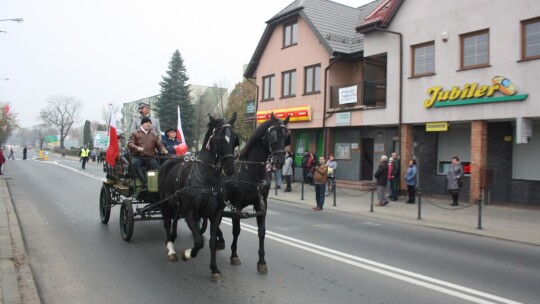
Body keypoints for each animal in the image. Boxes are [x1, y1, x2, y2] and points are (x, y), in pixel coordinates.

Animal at [158, 113, 238, 282]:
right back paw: (171, 249)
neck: (208, 180)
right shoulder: (190, 213)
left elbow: (212, 242)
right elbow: (199, 241)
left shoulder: (216, 214)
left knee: (175, 218)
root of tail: (169, 160)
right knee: (167, 222)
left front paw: (214, 269)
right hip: (165, 203)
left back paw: (173, 237)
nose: (229, 169)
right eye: (219, 138)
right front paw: (188, 254)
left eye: (235, 138)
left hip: (176, 202)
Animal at [218, 113, 288, 274]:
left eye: (286, 136)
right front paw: (234, 255)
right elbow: (236, 230)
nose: (280, 161)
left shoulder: (262, 204)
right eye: (273, 135)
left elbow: (262, 232)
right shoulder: (237, 204)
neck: (250, 171)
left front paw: (262, 262)